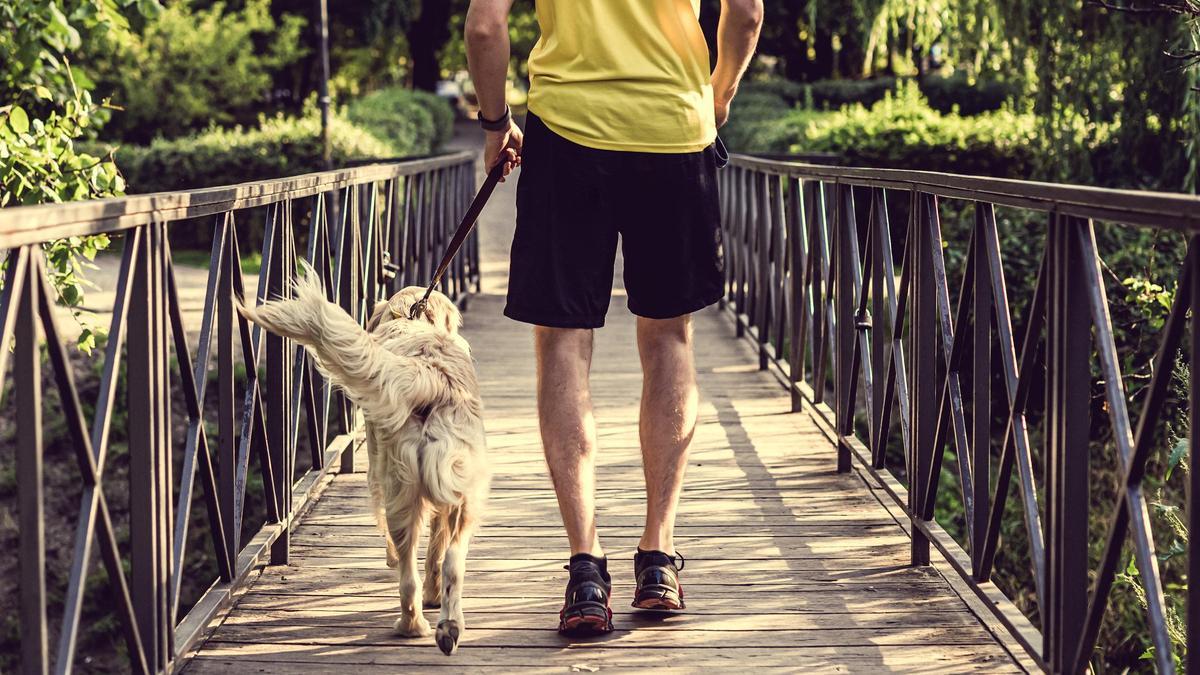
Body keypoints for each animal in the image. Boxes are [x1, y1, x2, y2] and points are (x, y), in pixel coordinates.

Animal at [238, 267, 487, 653]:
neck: (411, 321)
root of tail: (431, 373)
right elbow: (435, 549)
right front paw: (434, 597)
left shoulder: (376, 468)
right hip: (462, 493)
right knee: (449, 561)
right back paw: (445, 627)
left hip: (401, 485)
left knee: (409, 571)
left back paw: (411, 624)